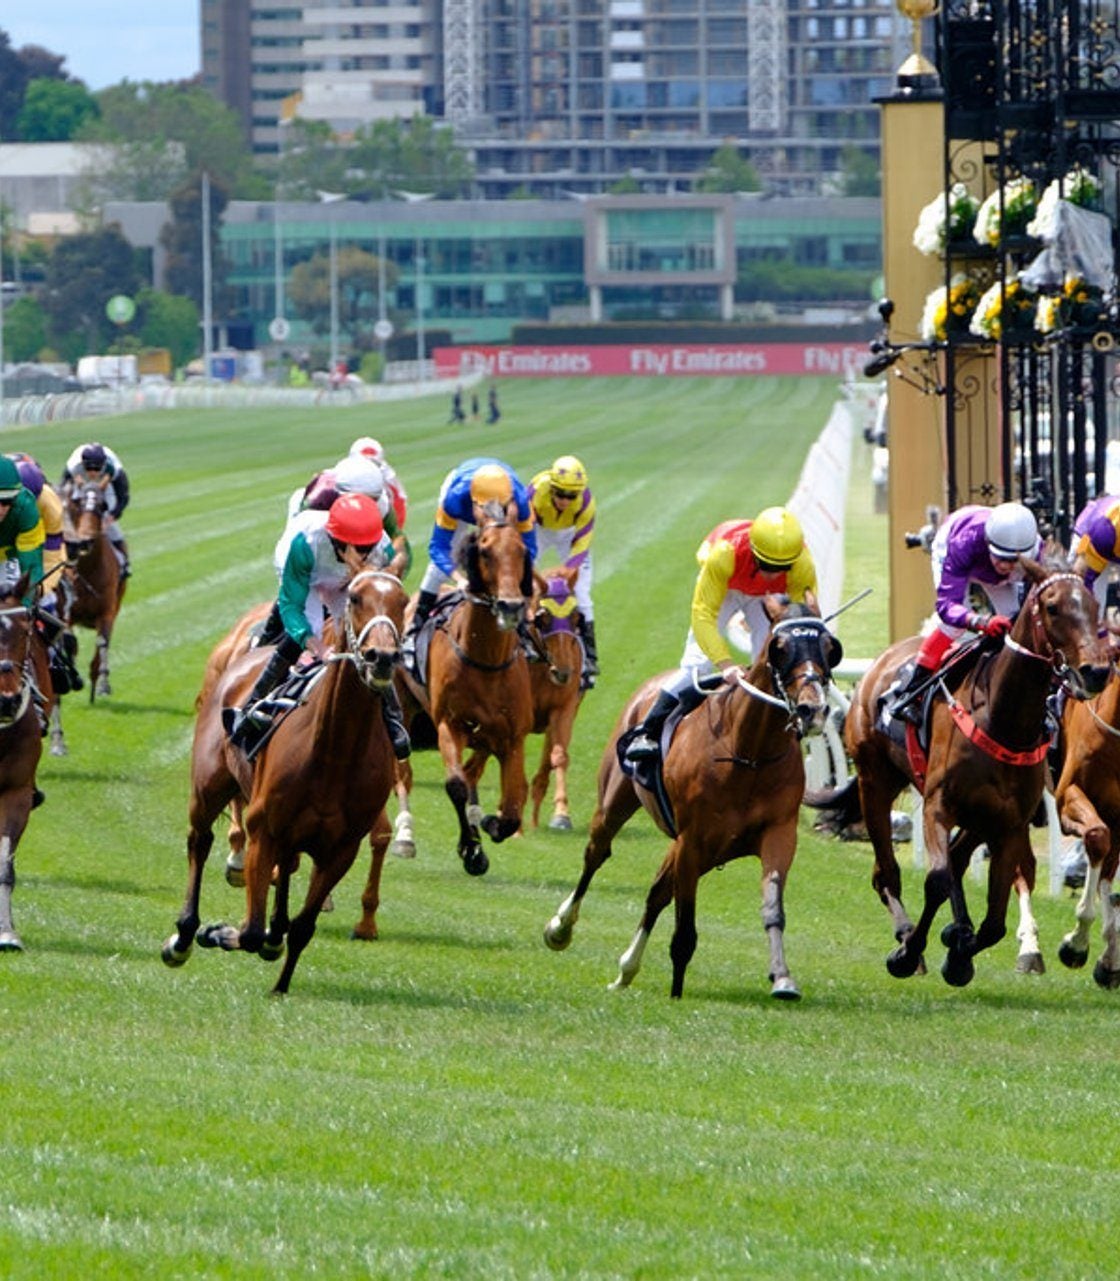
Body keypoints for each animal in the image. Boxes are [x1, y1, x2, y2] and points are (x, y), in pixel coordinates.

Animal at [63, 478, 126, 700]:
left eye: (103, 506)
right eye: (78, 502)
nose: (86, 540)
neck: (88, 570)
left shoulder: (106, 613)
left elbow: (102, 643)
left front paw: (103, 684)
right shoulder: (69, 613)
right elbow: (69, 641)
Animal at [161, 568, 410, 993]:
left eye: (403, 601)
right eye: (356, 598)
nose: (382, 656)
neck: (335, 748)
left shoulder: (341, 849)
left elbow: (302, 927)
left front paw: (280, 984)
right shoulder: (264, 829)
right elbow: (249, 931)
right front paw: (217, 932)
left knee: (287, 869)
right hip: (208, 789)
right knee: (200, 841)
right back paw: (184, 936)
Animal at [396, 506, 534, 875]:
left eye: (522, 551)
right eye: (485, 551)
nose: (511, 605)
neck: (485, 660)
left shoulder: (511, 737)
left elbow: (512, 807)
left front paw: (489, 826)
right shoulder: (450, 723)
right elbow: (456, 785)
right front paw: (472, 848)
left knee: (474, 773)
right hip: (404, 708)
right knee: (404, 773)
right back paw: (405, 835)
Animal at [544, 596, 840, 999]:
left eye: (829, 647)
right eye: (780, 648)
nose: (813, 709)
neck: (747, 753)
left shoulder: (777, 834)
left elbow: (772, 908)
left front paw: (782, 977)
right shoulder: (692, 841)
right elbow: (685, 926)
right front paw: (676, 992)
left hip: (705, 850)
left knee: (656, 892)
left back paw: (626, 969)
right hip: (616, 806)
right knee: (596, 855)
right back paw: (561, 928)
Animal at [809, 557, 1109, 986]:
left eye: (1094, 606)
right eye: (1052, 607)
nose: (1097, 671)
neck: (1002, 720)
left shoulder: (1010, 824)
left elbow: (995, 920)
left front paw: (960, 954)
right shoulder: (939, 806)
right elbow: (936, 880)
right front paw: (909, 952)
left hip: (979, 816)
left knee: (955, 857)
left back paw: (956, 930)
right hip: (875, 781)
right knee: (887, 872)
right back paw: (907, 936)